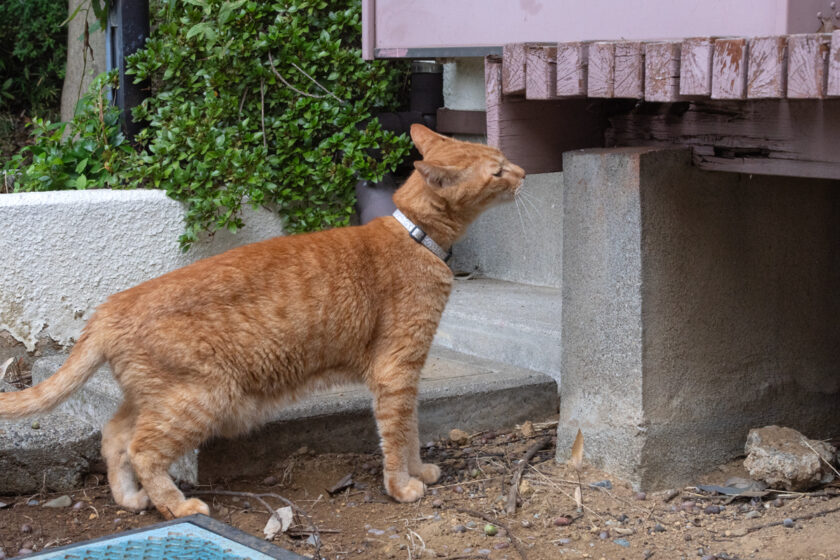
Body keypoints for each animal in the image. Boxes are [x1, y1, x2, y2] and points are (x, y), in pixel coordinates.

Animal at [0, 124, 524, 520]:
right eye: (497, 170)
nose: (522, 171)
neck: (418, 237)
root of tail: (110, 307)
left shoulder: (407, 375)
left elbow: (412, 429)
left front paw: (419, 472)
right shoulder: (397, 371)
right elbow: (397, 434)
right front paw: (402, 486)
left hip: (156, 395)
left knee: (115, 436)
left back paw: (130, 498)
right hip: (201, 396)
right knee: (143, 449)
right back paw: (177, 505)